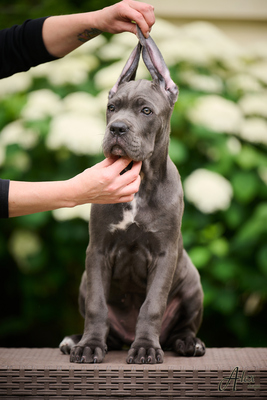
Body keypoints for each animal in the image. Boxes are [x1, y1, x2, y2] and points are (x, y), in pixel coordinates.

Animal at [60, 26, 205, 364]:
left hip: (193, 284)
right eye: (111, 108)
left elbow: (152, 305)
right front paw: (89, 345)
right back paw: (76, 340)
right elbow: (97, 305)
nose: (117, 128)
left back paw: (187, 343)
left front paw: (146, 348)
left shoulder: (165, 254)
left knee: (181, 328)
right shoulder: (97, 251)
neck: (140, 181)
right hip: (84, 281)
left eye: (146, 110)